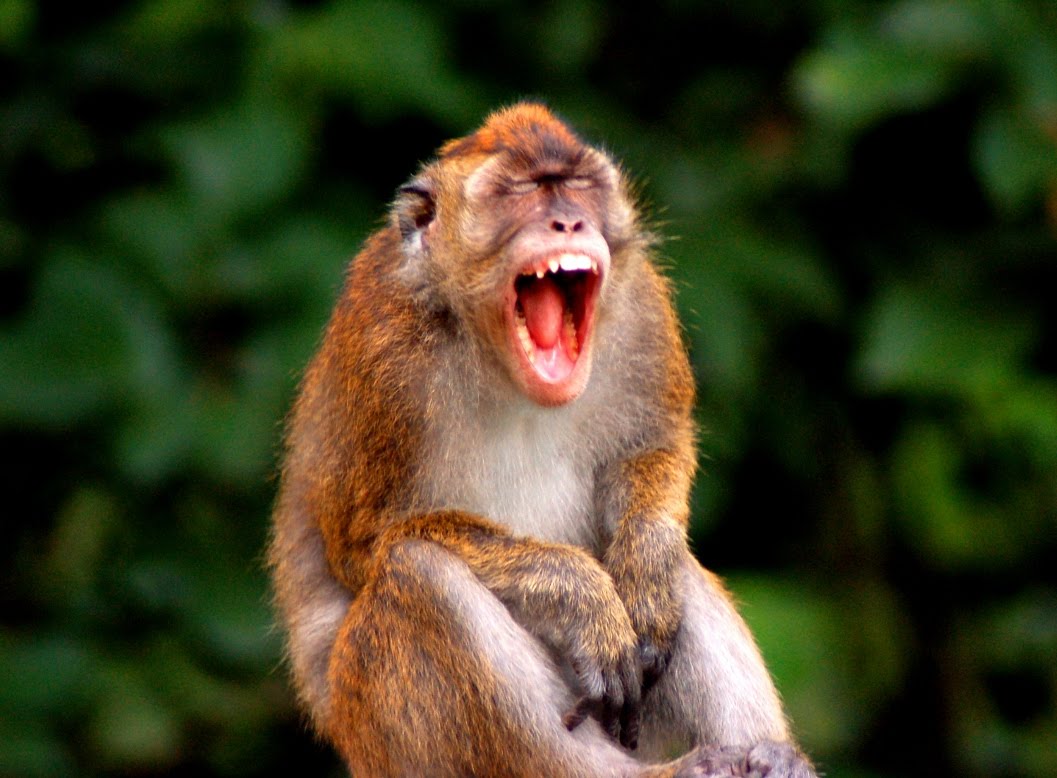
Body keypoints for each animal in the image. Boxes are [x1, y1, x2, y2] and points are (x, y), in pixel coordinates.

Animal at [269, 103, 816, 777]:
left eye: (577, 184)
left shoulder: (643, 308)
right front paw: (580, 596)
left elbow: (650, 452)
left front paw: (644, 567)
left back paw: (768, 754)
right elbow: (364, 544)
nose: (569, 219)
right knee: (421, 574)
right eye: (521, 191)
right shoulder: (381, 357)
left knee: (668, 564)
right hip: (382, 728)